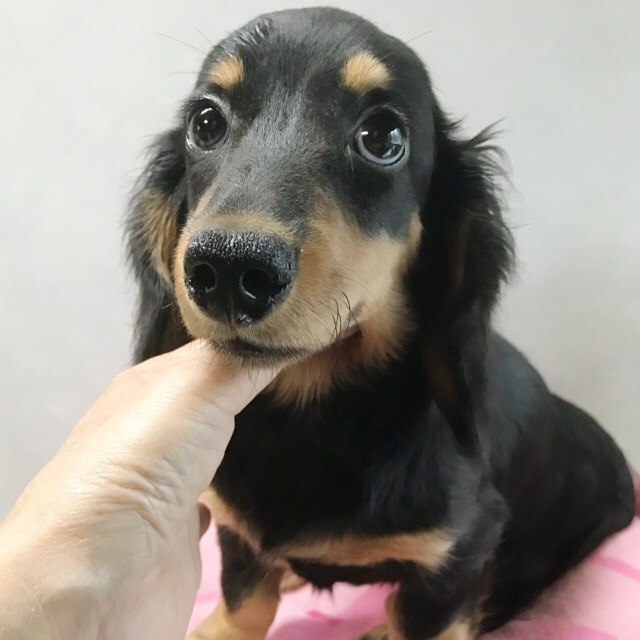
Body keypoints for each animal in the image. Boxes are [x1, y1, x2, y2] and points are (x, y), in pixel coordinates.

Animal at [125, 8, 635, 640]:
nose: (228, 268)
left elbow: (420, 611)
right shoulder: (239, 533)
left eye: (383, 137)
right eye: (205, 123)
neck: (314, 410)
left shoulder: (461, 552)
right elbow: (246, 600)